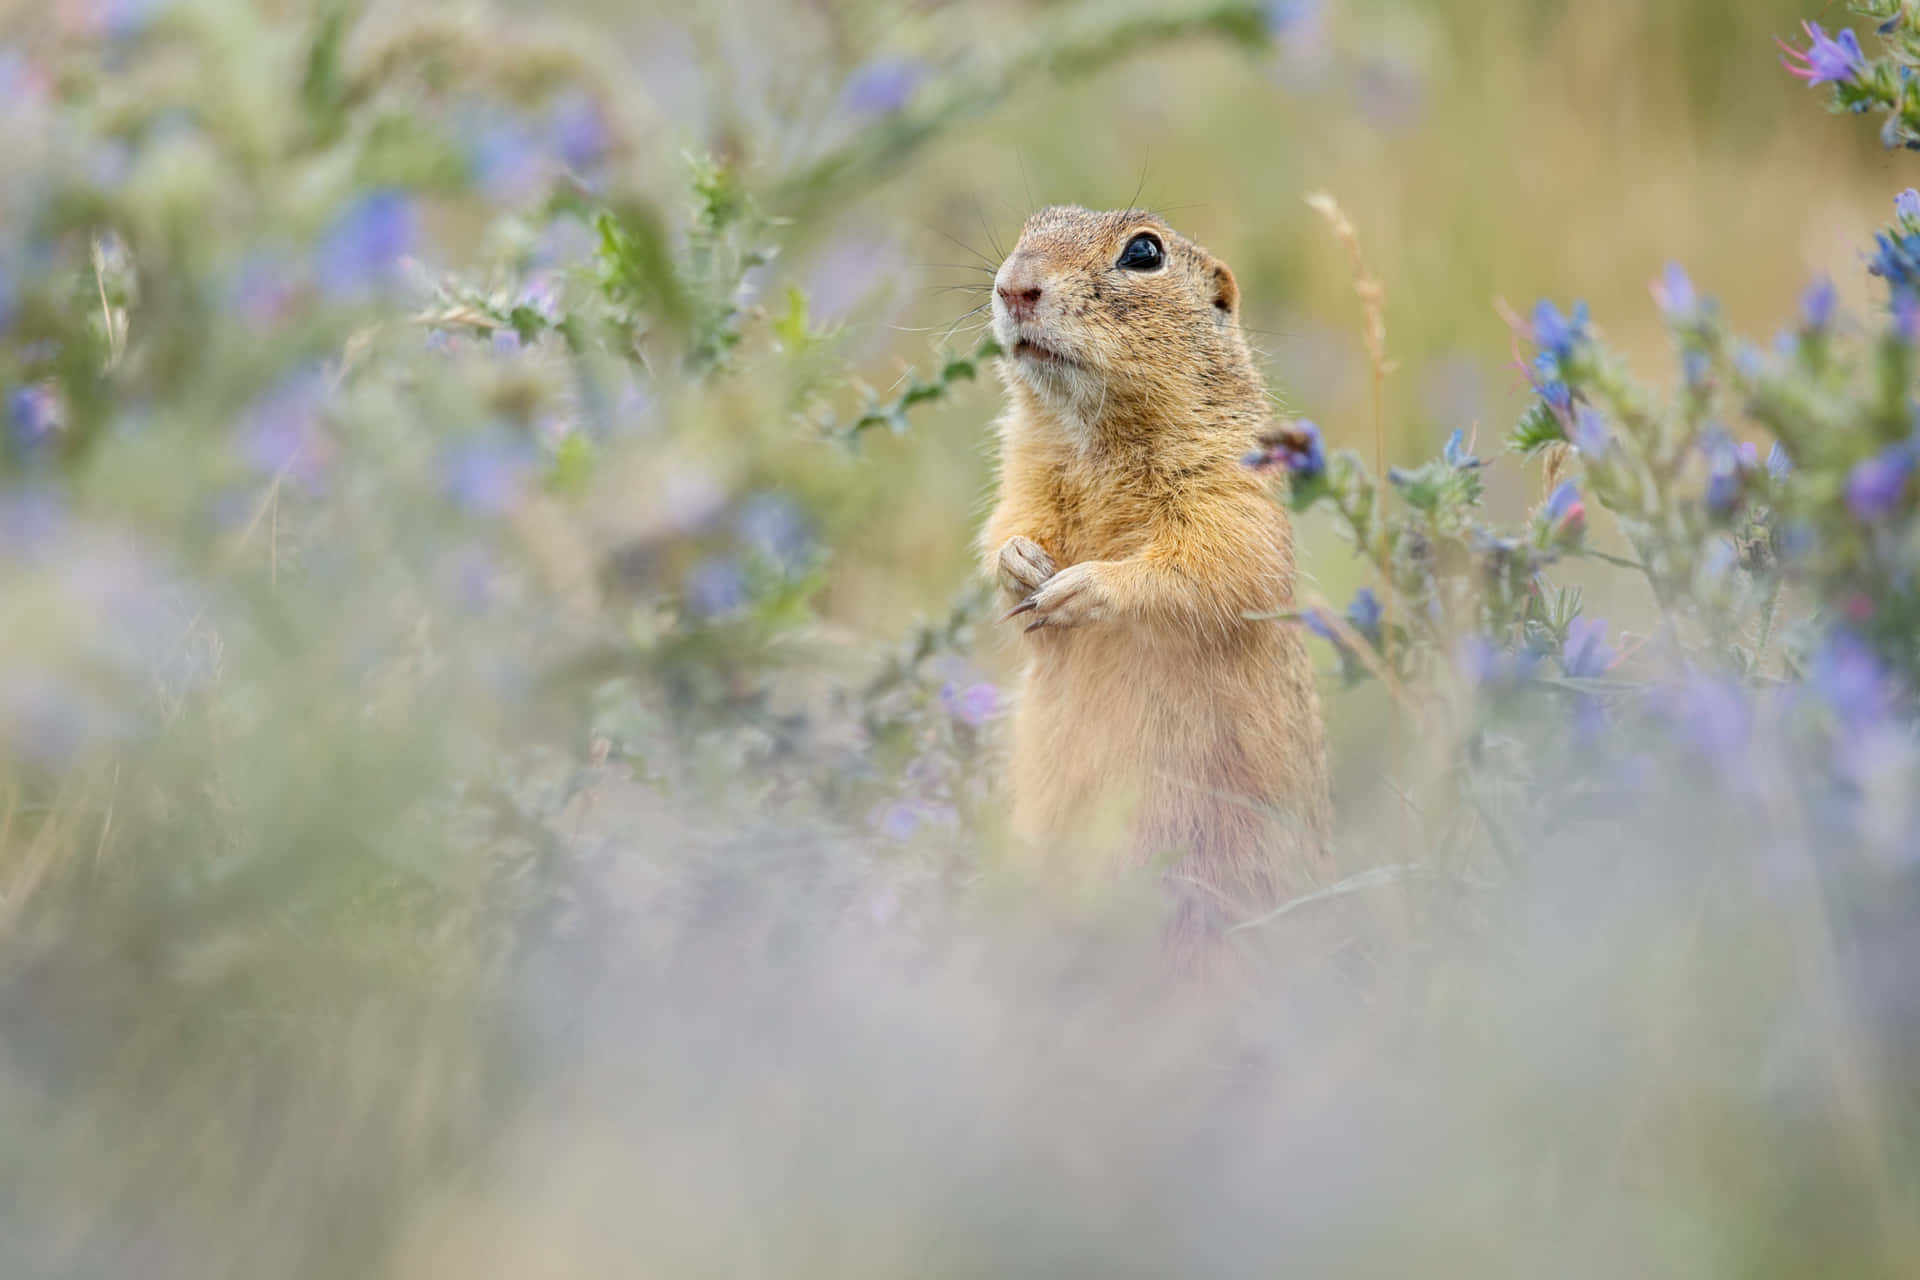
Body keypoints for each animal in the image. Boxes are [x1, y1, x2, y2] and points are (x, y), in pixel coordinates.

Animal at [983, 205, 1328, 948]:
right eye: (1033, 225)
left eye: (1144, 253)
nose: (1013, 286)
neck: (1094, 436)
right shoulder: (1022, 472)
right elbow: (1006, 526)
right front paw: (1022, 564)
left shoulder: (1231, 490)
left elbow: (1212, 565)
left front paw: (1082, 588)